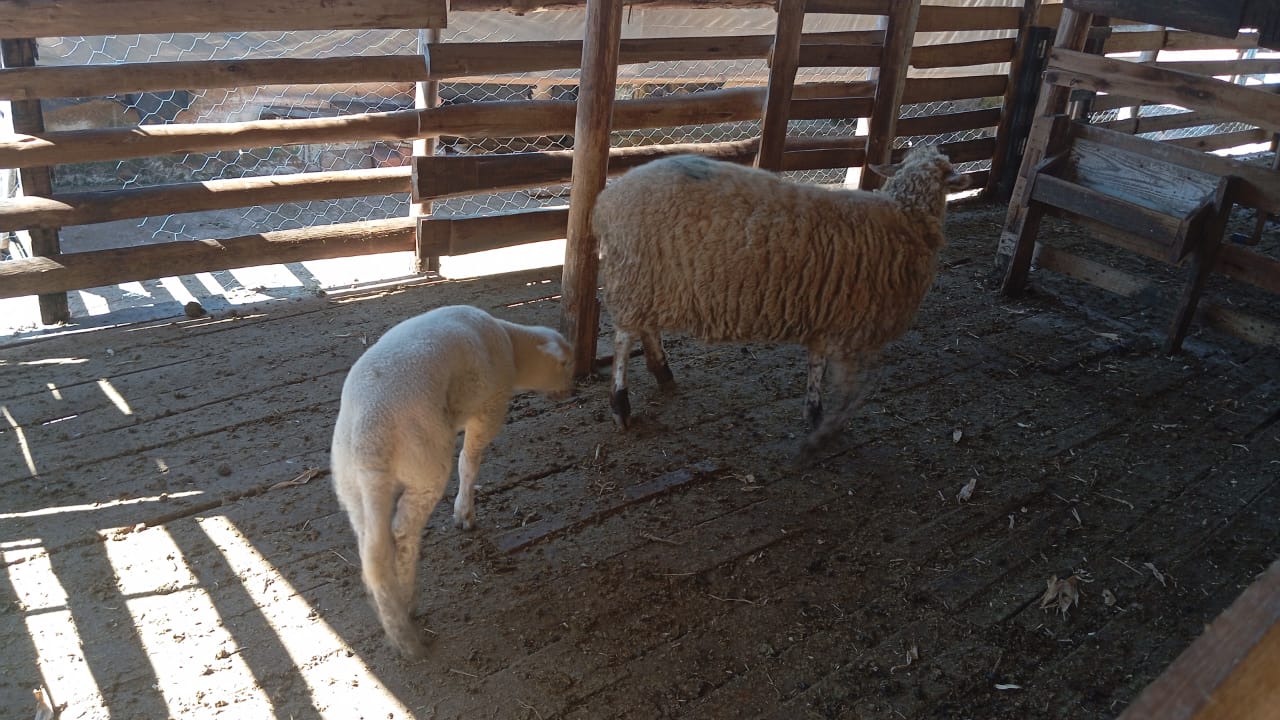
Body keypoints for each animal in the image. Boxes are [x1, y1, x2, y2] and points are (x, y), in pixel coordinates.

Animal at [593, 144, 962, 456]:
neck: (906, 215)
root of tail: (608, 199)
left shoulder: (829, 315)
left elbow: (817, 365)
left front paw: (814, 412)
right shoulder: (857, 328)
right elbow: (855, 388)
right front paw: (827, 431)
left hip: (651, 278)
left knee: (646, 327)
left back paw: (662, 370)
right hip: (636, 273)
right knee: (624, 338)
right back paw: (620, 405)